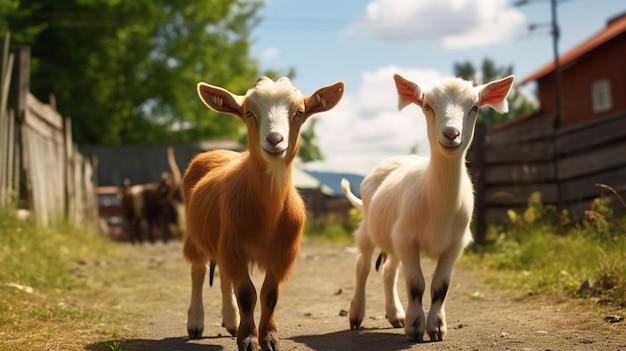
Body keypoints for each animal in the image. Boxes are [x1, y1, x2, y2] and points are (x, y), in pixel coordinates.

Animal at [183, 76, 344, 351]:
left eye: (299, 112)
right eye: (248, 112)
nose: (275, 139)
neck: (268, 210)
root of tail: (219, 151)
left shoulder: (282, 252)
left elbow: (270, 294)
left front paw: (268, 337)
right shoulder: (233, 246)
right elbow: (247, 293)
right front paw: (248, 339)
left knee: (224, 277)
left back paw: (231, 321)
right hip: (195, 236)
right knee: (198, 271)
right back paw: (195, 323)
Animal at [342, 73, 512, 340]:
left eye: (474, 107)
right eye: (427, 106)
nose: (451, 133)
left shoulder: (454, 244)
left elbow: (440, 286)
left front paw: (436, 327)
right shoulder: (407, 239)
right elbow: (416, 284)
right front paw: (415, 327)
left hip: (394, 239)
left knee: (389, 271)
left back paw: (395, 315)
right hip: (369, 229)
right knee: (363, 266)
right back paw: (356, 315)